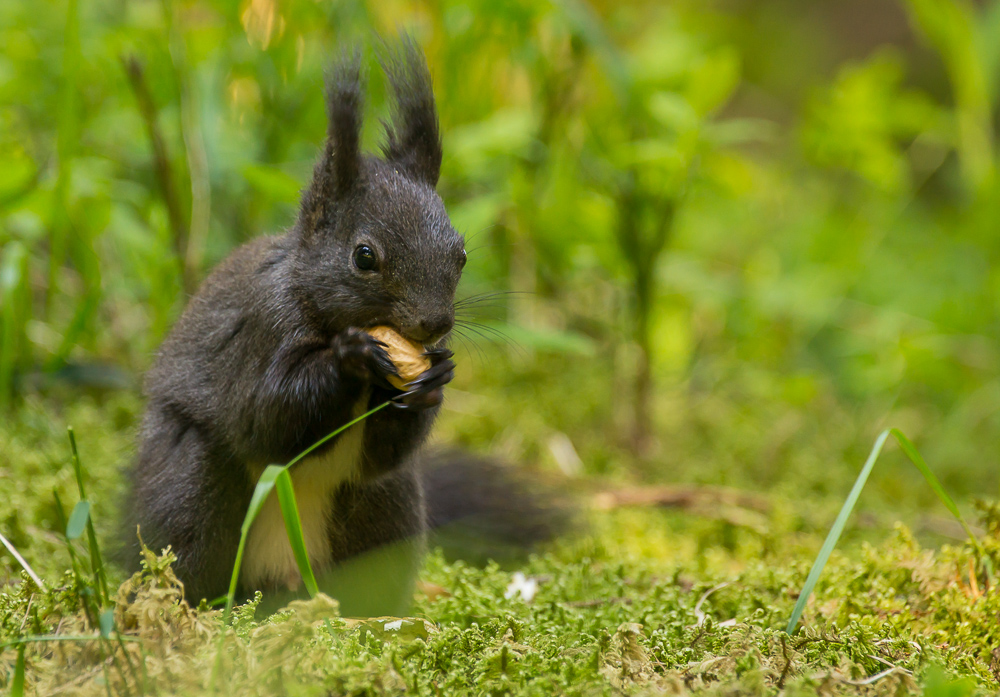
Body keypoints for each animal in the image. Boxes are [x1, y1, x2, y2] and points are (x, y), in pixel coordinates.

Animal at [122, 38, 472, 616]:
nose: (434, 324)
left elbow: (384, 454)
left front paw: (434, 379)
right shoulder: (263, 328)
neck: (319, 307)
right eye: (364, 256)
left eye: (461, 253)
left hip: (386, 511)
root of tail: (283, 578)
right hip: (190, 490)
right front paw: (350, 358)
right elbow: (266, 418)